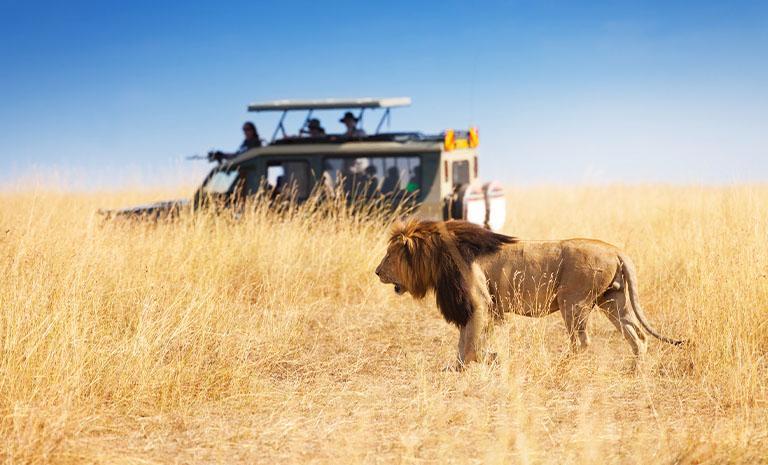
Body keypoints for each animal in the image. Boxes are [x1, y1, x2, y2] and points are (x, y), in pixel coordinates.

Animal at [376, 219, 680, 368]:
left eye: (389, 255)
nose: (377, 272)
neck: (437, 256)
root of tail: (616, 250)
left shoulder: (479, 303)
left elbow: (471, 344)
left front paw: (487, 360)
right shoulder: (479, 308)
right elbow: (465, 343)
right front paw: (459, 367)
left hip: (574, 302)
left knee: (582, 342)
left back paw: (560, 367)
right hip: (612, 301)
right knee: (637, 336)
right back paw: (635, 372)